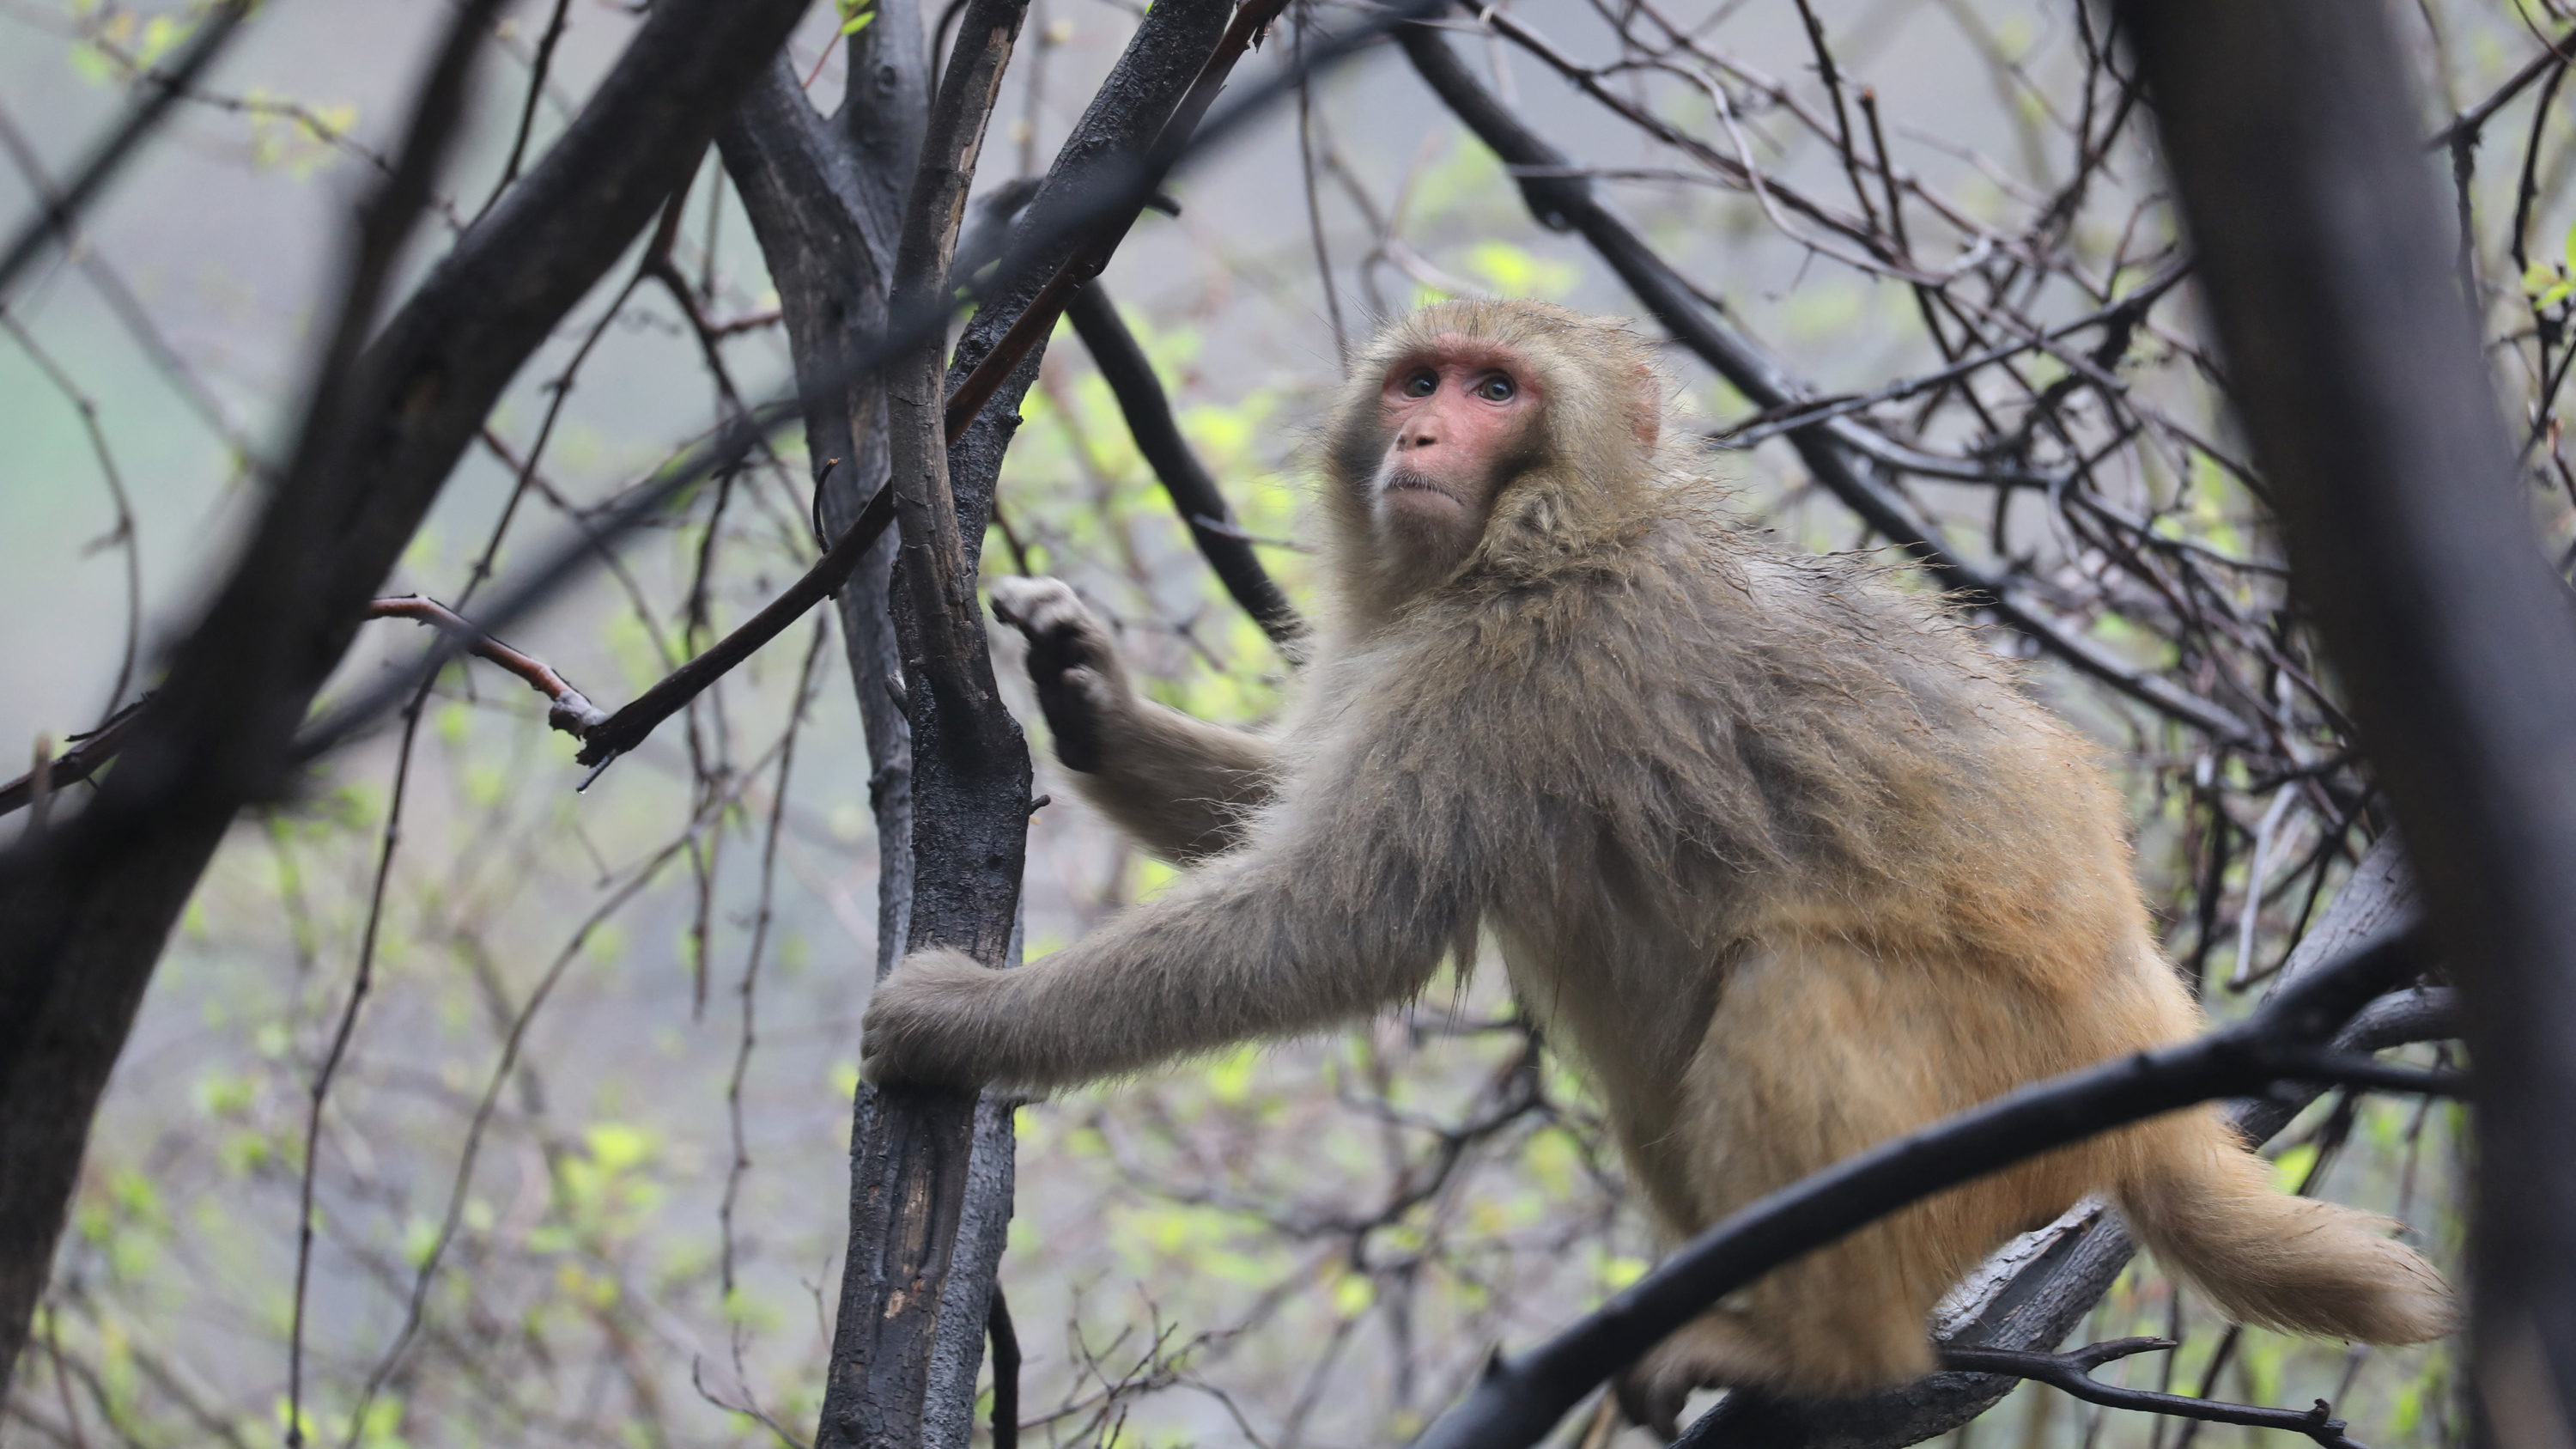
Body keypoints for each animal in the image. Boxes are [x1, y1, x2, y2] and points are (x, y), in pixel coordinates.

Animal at [855, 299, 2442, 1422]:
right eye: (1422, 381)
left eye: (1496, 393)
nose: (1421, 443)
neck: (1549, 535)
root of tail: (2149, 1028)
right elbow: (1291, 813)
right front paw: (1092, 699)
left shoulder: (1518, 668)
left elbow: (1340, 916)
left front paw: (963, 1019)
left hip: (2009, 1077)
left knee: (1793, 980)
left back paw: (1829, 1353)